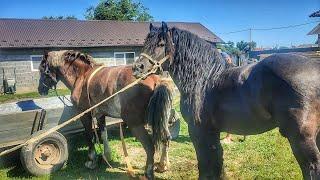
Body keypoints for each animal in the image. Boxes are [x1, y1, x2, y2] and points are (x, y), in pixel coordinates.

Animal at [38, 50, 174, 179]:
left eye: (42, 69)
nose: (40, 90)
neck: (82, 75)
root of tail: (158, 80)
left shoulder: (84, 114)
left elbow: (90, 136)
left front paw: (91, 161)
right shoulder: (100, 114)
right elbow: (103, 134)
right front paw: (107, 156)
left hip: (135, 124)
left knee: (150, 146)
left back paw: (148, 173)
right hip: (160, 121)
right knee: (165, 138)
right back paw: (162, 166)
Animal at [134, 22, 320, 180]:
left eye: (161, 44)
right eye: (145, 42)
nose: (137, 68)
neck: (204, 79)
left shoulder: (198, 131)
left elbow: (204, 163)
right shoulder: (212, 131)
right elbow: (217, 160)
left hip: (301, 138)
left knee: (311, 167)